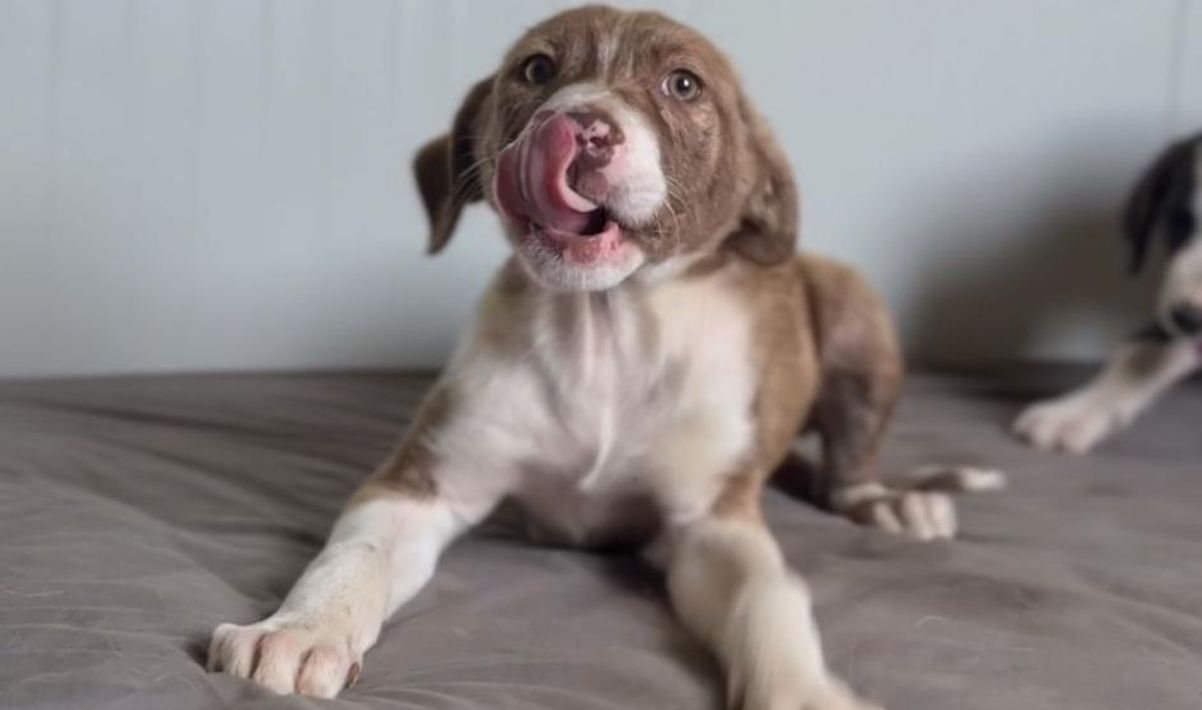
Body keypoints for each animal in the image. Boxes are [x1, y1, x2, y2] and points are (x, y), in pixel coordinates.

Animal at [208, 7, 1002, 708]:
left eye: (683, 84)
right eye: (536, 69)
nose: (580, 128)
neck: (606, 333)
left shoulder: (712, 522)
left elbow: (769, 600)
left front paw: (803, 693)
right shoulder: (423, 483)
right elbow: (351, 556)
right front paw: (301, 631)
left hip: (853, 307)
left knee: (846, 470)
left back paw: (891, 502)